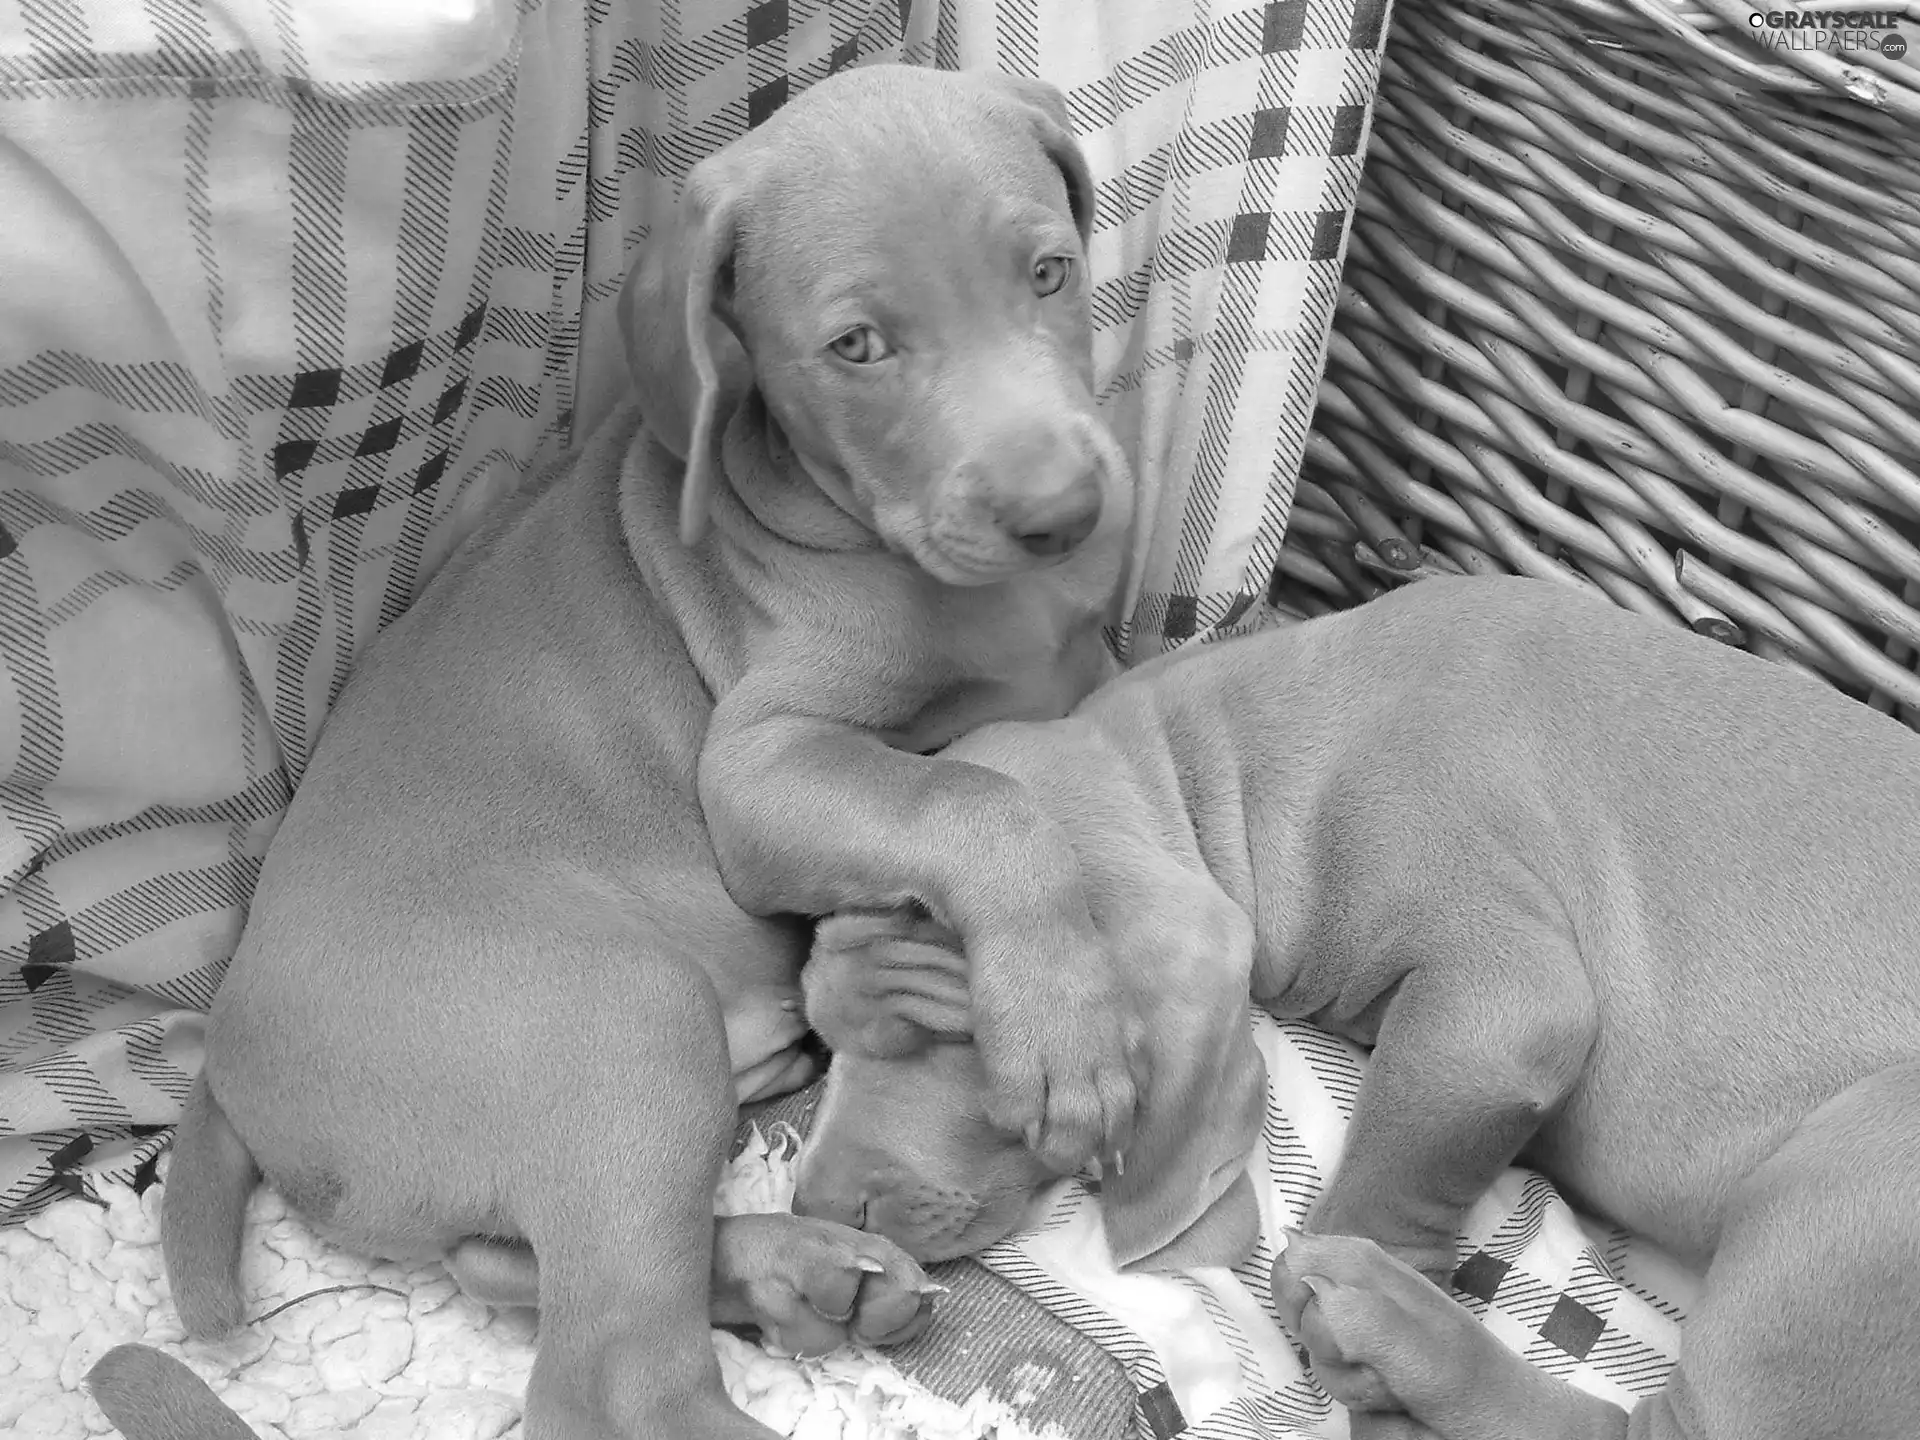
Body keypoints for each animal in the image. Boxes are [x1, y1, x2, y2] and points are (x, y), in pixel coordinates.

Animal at [791, 576, 1920, 1440]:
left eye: (960, 1042)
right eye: (824, 1030)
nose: (810, 1210)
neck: (1231, 751)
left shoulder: (1503, 1001)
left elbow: (1387, 1174)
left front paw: (1358, 1335)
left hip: (1855, 1176)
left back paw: (1388, 1330)